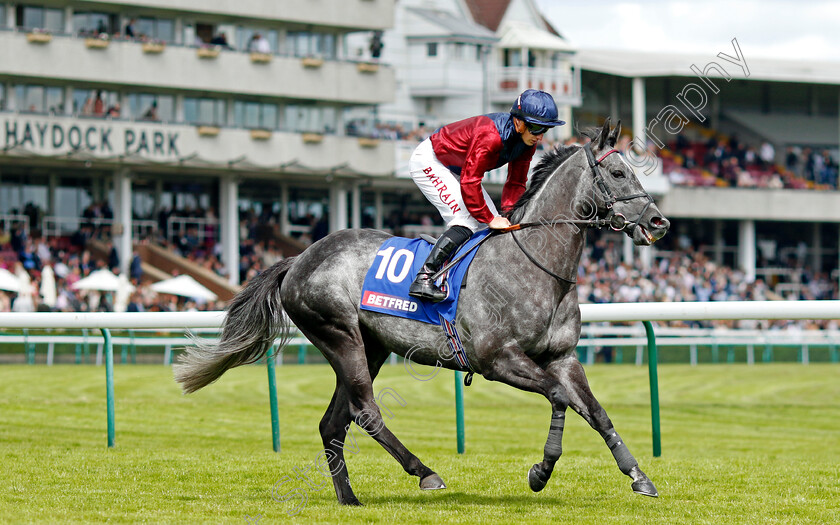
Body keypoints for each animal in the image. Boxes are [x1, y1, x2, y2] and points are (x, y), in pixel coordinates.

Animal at [176, 118, 668, 504]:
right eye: (619, 172)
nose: (658, 222)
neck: (535, 262)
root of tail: (297, 259)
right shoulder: (498, 360)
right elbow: (559, 397)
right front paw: (540, 472)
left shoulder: (562, 357)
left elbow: (596, 411)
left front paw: (639, 477)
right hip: (339, 335)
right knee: (365, 411)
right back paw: (425, 472)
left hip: (369, 346)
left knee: (334, 422)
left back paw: (349, 499)